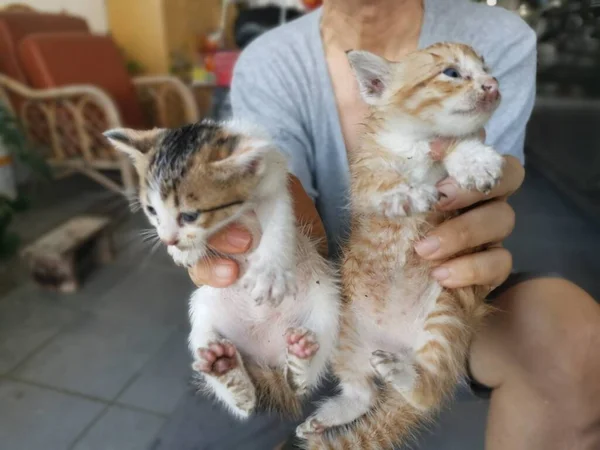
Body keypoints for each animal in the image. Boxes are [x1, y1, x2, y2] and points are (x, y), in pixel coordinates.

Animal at [105, 121, 340, 420]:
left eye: (190, 215)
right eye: (151, 210)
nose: (168, 240)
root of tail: (267, 357)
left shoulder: (276, 183)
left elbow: (278, 223)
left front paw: (269, 271)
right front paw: (185, 251)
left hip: (327, 304)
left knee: (304, 379)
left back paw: (301, 360)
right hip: (203, 311)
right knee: (241, 399)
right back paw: (224, 368)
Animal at [298, 41, 504, 446]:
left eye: (487, 70)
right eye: (452, 73)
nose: (492, 85)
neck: (416, 140)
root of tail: (397, 348)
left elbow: (456, 144)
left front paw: (474, 161)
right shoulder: (364, 177)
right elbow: (382, 182)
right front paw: (409, 193)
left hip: (445, 316)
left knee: (427, 392)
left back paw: (406, 375)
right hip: (345, 332)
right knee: (364, 393)